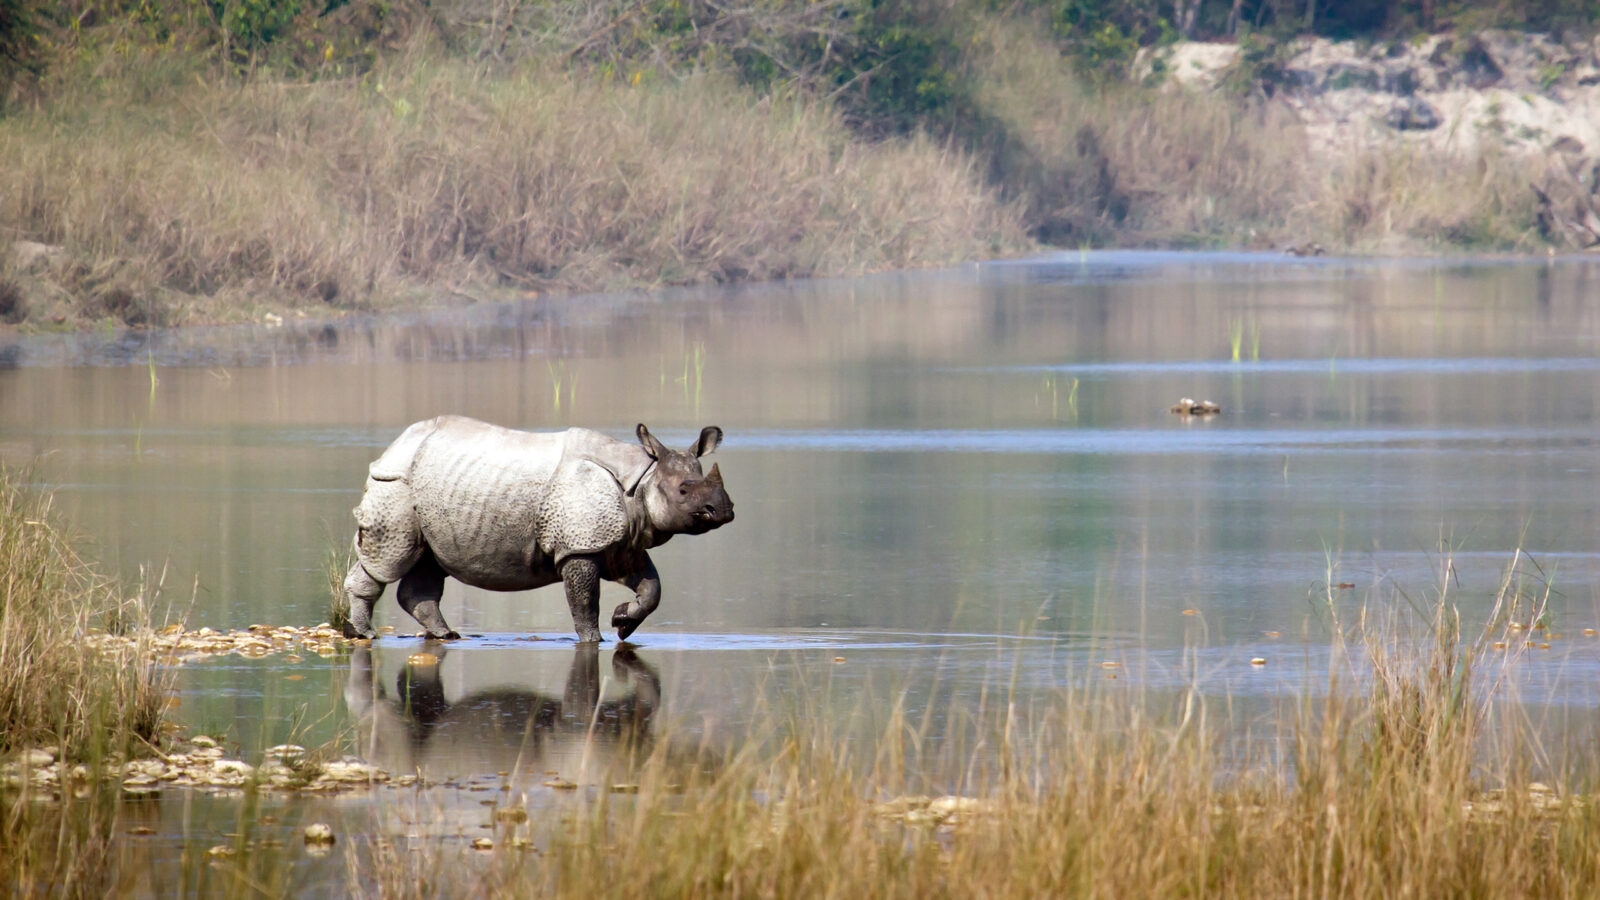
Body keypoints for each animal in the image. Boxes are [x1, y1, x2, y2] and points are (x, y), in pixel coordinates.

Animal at [342, 415, 734, 642]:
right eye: (684, 491)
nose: (724, 511)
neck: (644, 477)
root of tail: (395, 445)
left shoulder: (621, 543)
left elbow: (652, 589)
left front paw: (623, 621)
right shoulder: (579, 546)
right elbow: (584, 603)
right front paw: (595, 640)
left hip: (432, 489)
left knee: (428, 562)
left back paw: (446, 635)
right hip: (396, 483)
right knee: (390, 558)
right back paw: (366, 634)